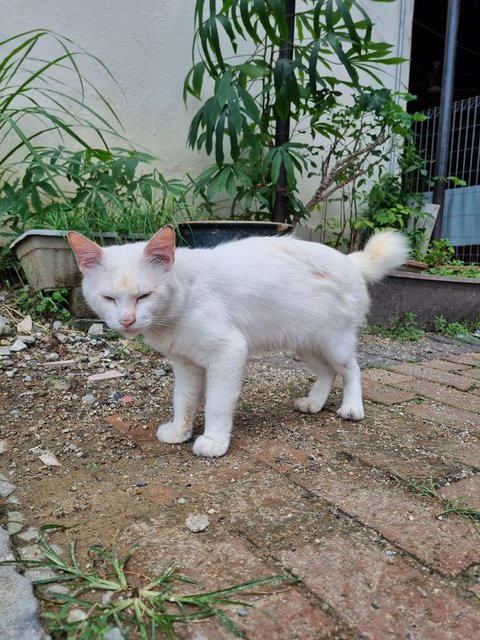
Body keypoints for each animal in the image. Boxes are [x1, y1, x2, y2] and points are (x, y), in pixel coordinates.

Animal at [68, 228, 408, 458]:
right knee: (327, 372)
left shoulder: (227, 354)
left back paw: (351, 408)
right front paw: (180, 431)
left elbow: (217, 405)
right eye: (109, 298)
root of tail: (349, 259)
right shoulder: (185, 363)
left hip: (333, 342)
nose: (126, 320)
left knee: (351, 370)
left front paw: (214, 441)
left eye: (143, 296)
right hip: (305, 344)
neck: (184, 293)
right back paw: (314, 403)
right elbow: (184, 401)